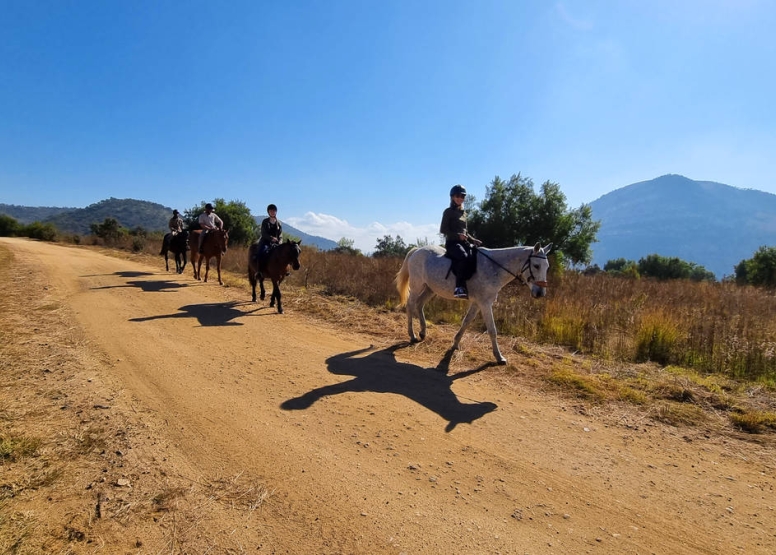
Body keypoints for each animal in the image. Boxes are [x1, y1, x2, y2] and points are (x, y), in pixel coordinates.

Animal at [394, 243, 552, 364]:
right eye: (536, 266)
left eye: (547, 267)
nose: (540, 293)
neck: (494, 267)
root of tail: (417, 250)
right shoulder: (485, 304)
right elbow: (492, 330)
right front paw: (499, 357)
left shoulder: (477, 304)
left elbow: (466, 322)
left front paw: (455, 344)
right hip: (417, 286)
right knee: (410, 305)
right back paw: (412, 335)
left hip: (429, 289)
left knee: (419, 305)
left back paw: (422, 333)